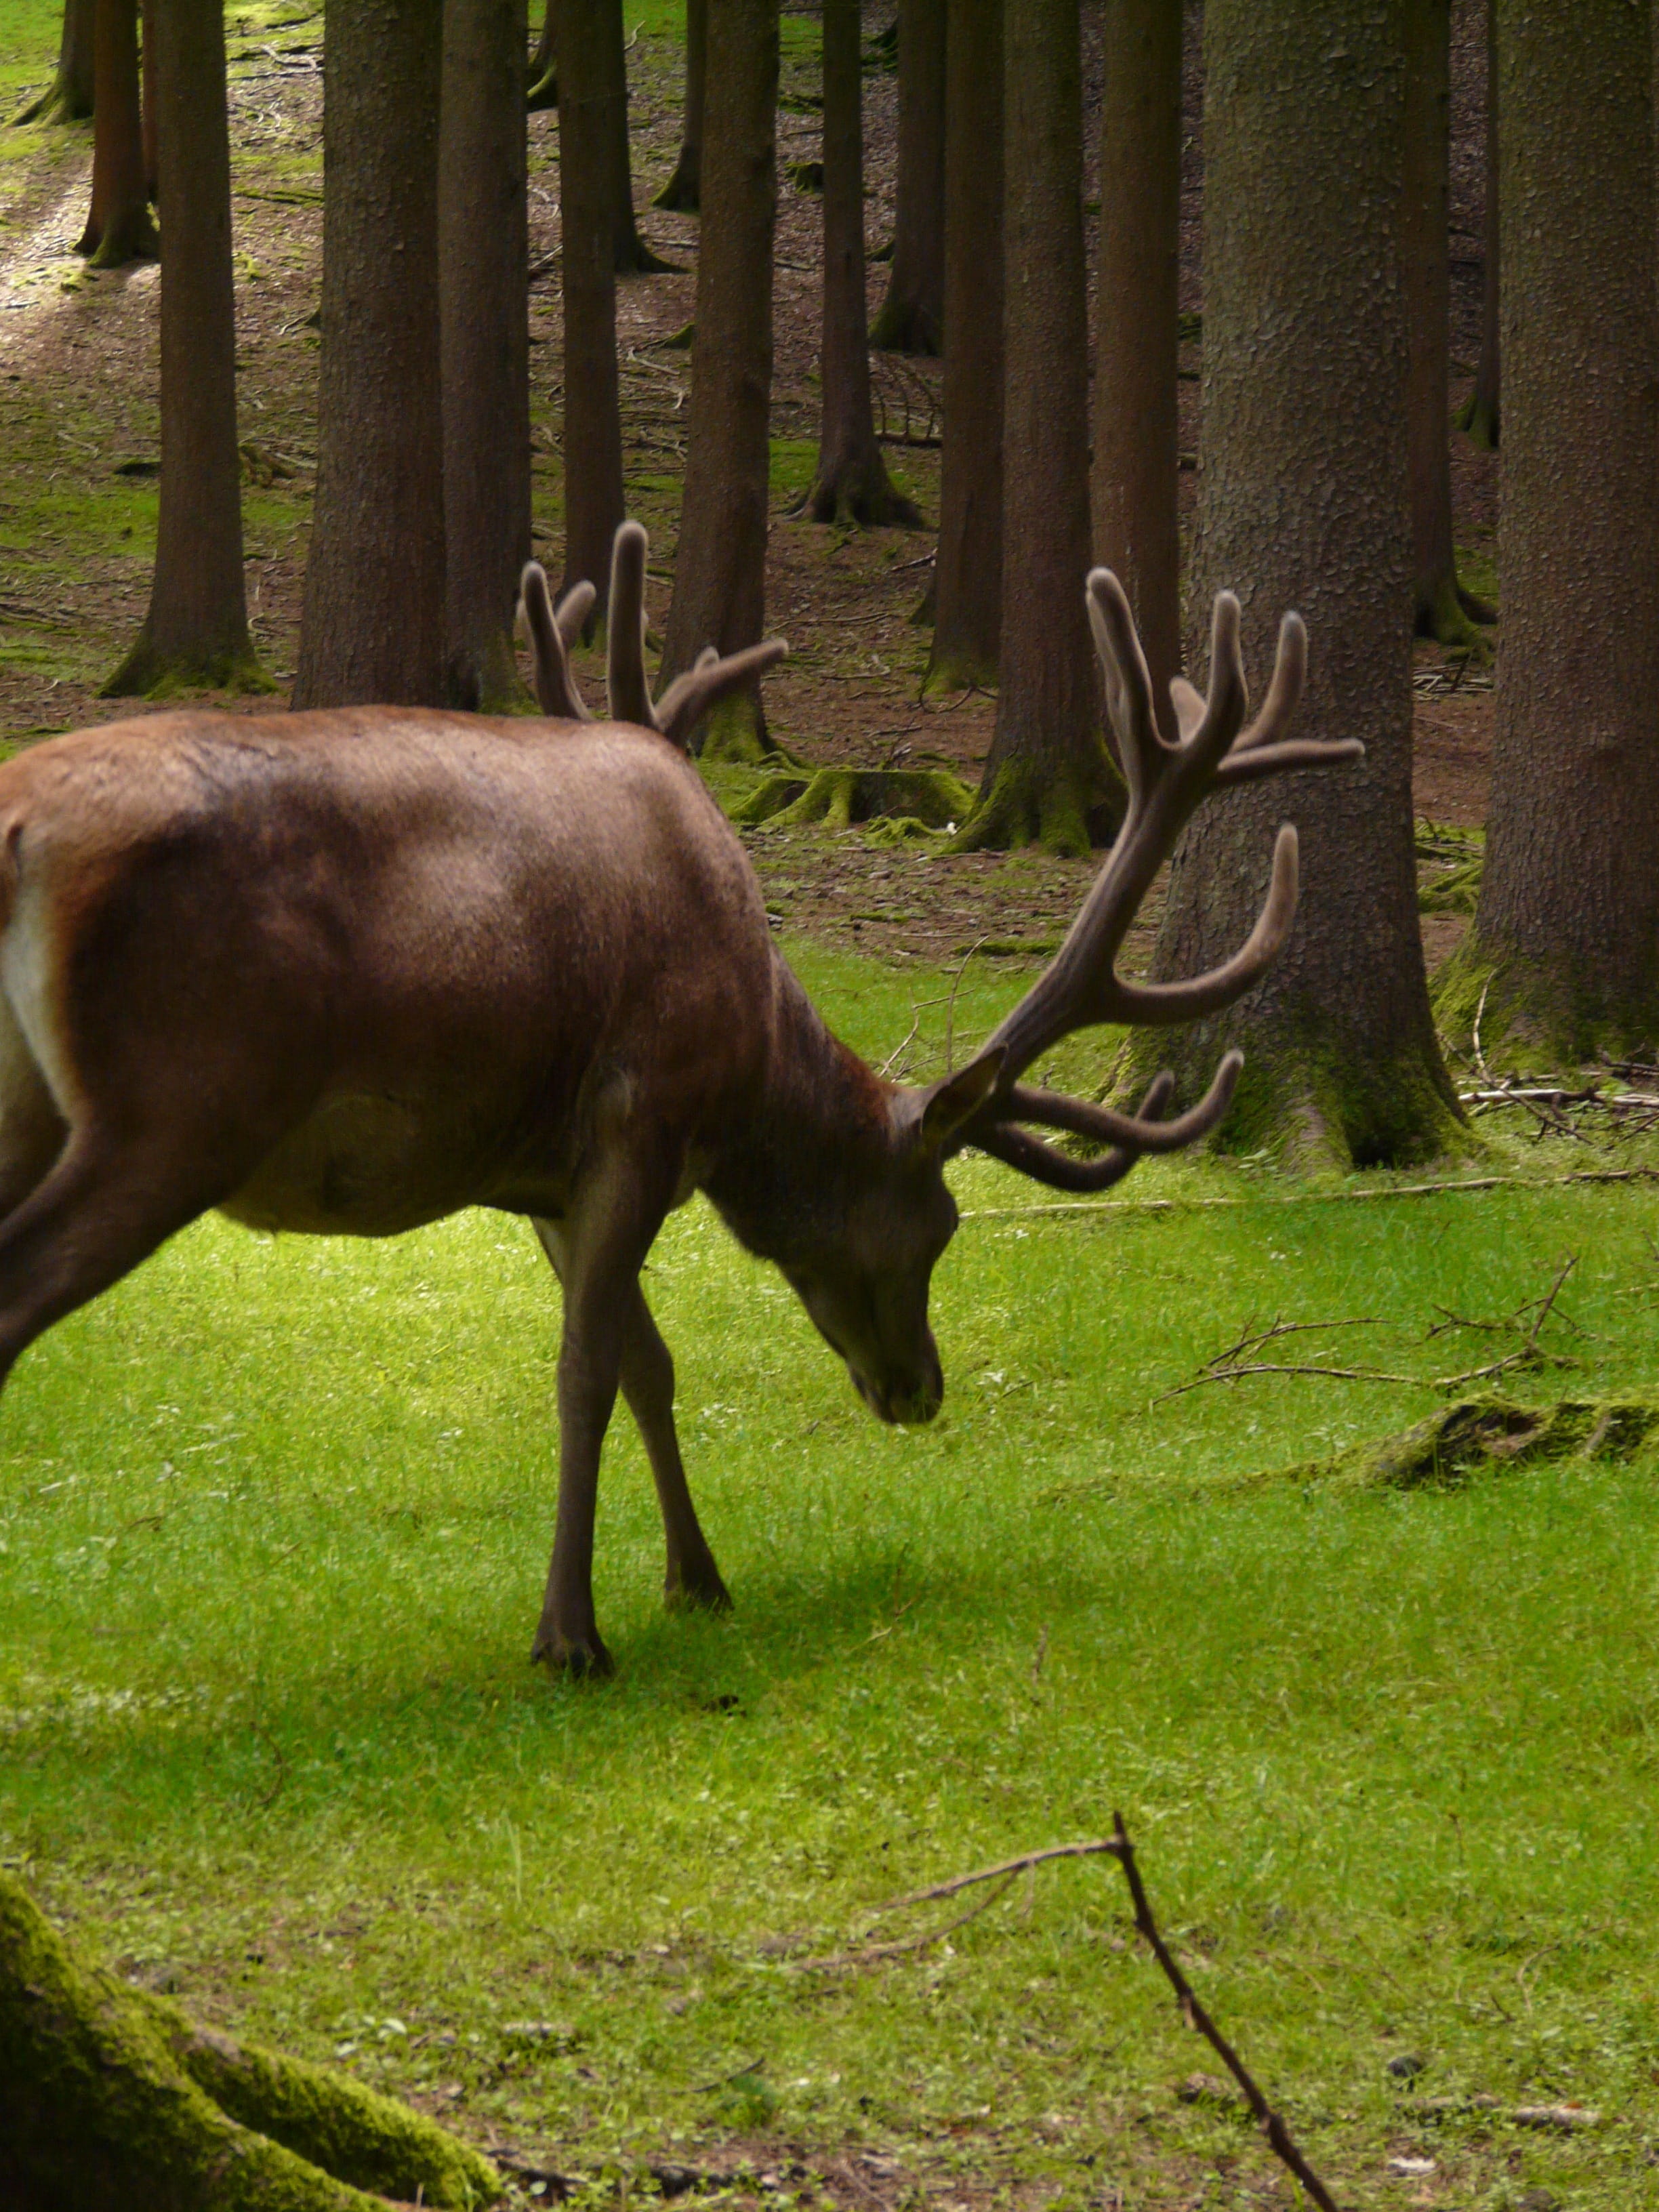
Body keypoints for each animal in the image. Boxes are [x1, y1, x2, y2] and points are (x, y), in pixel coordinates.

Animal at [0, 524, 1358, 1675]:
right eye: (939, 1227)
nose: (918, 1389)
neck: (751, 1056)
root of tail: (21, 828)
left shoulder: (545, 1173)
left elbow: (649, 1363)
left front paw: (697, 1577)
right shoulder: (642, 1119)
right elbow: (589, 1366)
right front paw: (569, 1633)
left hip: (41, 1101)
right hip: (177, 1102)